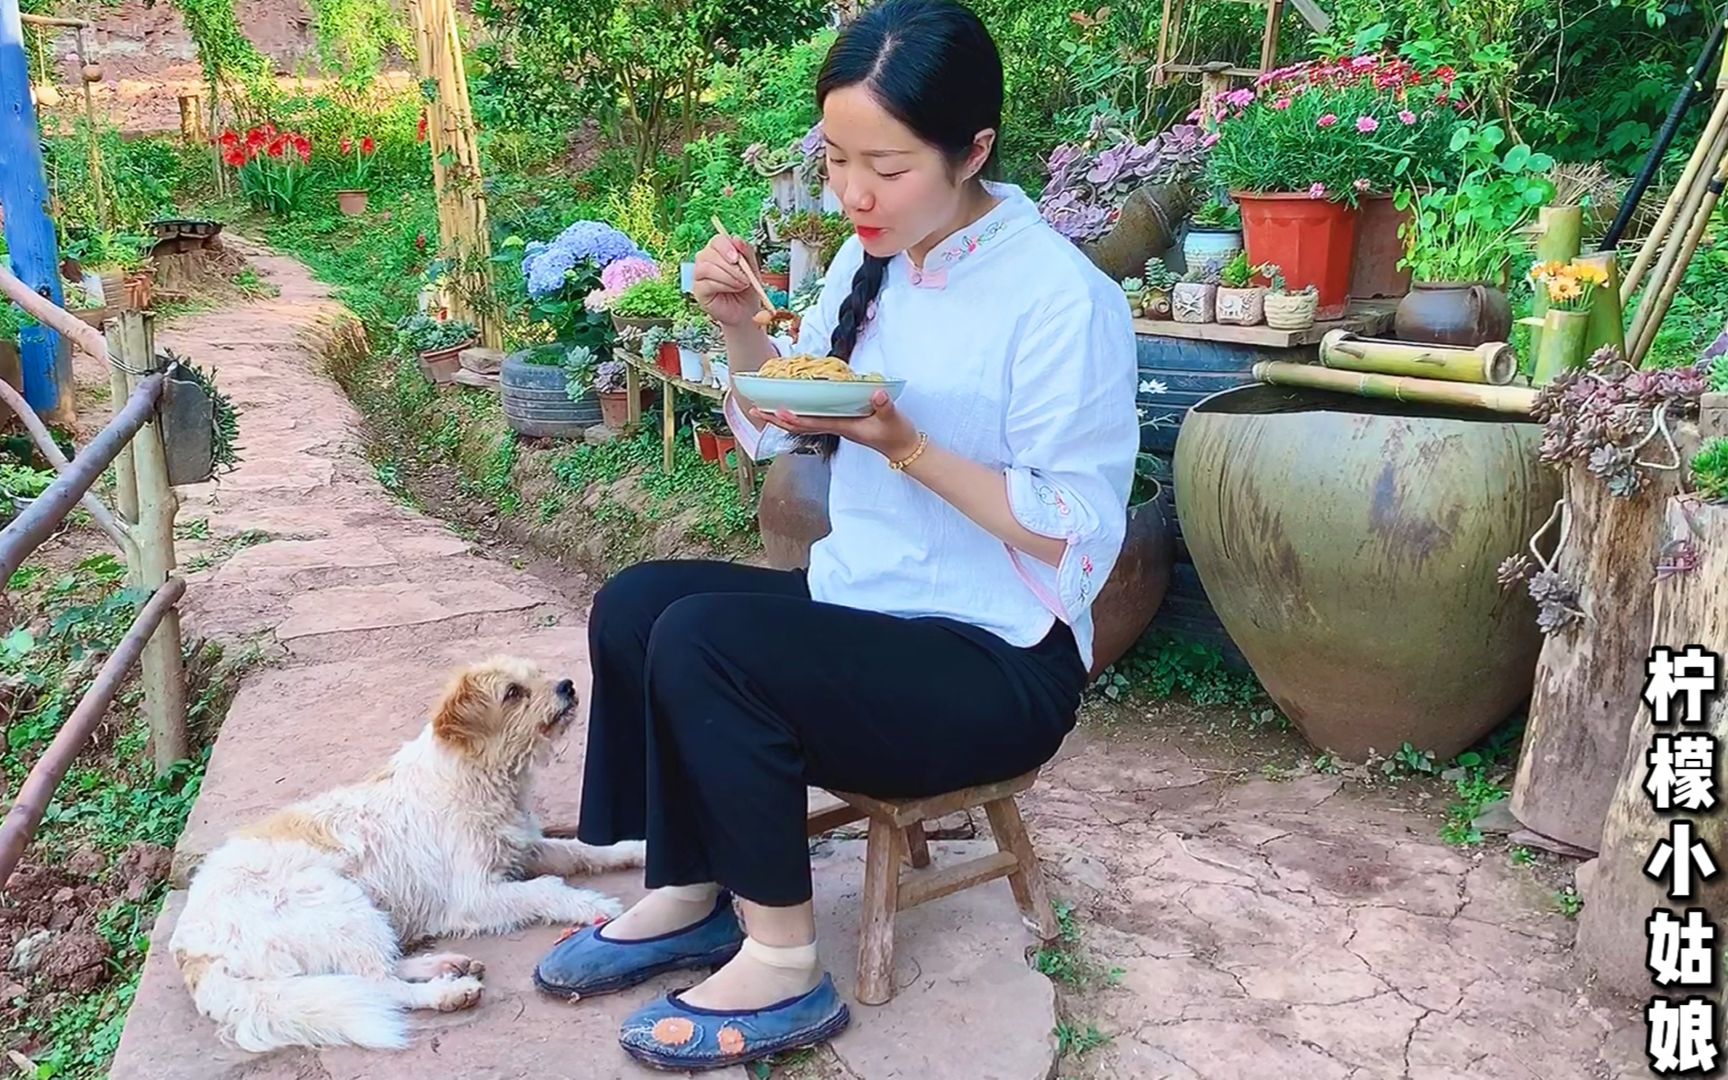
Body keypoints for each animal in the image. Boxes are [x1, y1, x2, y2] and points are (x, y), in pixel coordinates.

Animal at [170, 653, 642, 1050]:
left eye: (537, 674)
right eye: (512, 692)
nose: (568, 685)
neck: (473, 774)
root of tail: (193, 949)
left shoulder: (523, 849)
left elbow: (582, 851)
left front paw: (635, 850)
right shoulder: (475, 895)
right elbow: (546, 888)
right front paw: (593, 905)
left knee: (374, 973)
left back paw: (445, 966)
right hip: (345, 909)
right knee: (378, 984)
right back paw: (450, 992)